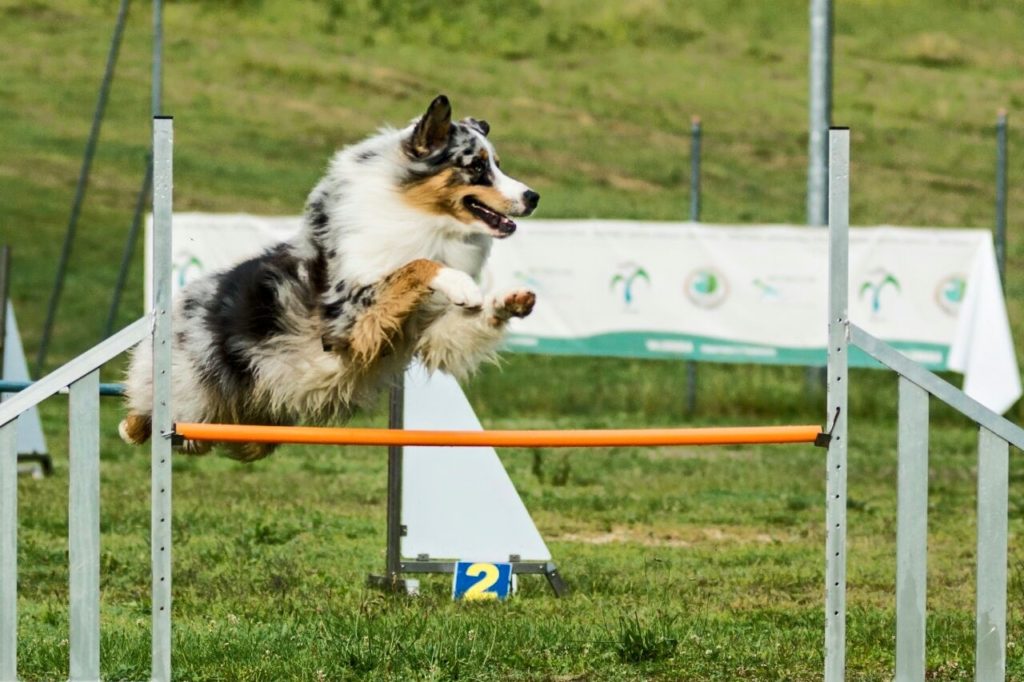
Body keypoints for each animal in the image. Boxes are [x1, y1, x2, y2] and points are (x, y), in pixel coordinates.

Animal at [118, 94, 540, 456]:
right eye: (476, 166)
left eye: (498, 163)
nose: (533, 197)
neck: (424, 218)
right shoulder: (346, 322)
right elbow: (414, 266)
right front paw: (460, 282)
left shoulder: (428, 333)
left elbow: (456, 329)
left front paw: (510, 301)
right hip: (188, 388)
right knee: (144, 419)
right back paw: (134, 426)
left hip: (258, 424)